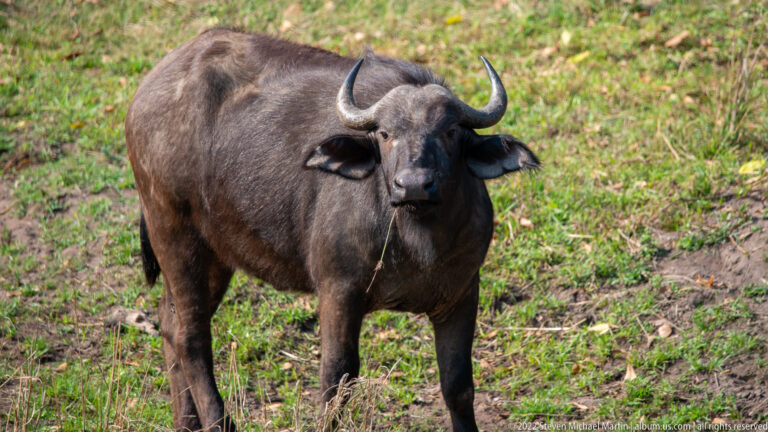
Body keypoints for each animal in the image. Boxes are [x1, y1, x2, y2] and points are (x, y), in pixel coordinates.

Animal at [126, 28, 539, 432]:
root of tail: (146, 93)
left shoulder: (462, 293)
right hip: (174, 236)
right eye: (385, 133)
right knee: (191, 337)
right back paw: (216, 422)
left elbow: (458, 385)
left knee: (170, 323)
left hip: (215, 256)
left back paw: (186, 422)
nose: (413, 185)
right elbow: (336, 382)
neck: (416, 241)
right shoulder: (338, 291)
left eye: (451, 130)